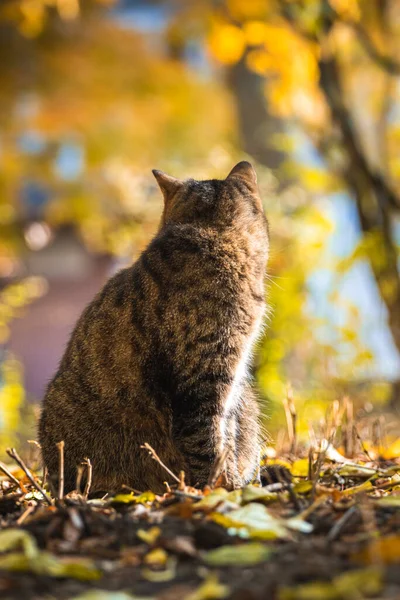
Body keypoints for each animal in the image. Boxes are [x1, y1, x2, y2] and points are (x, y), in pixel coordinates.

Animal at [38, 161, 268, 492]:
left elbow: (228, 439)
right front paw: (224, 491)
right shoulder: (204, 380)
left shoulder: (230, 387)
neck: (211, 230)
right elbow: (209, 446)